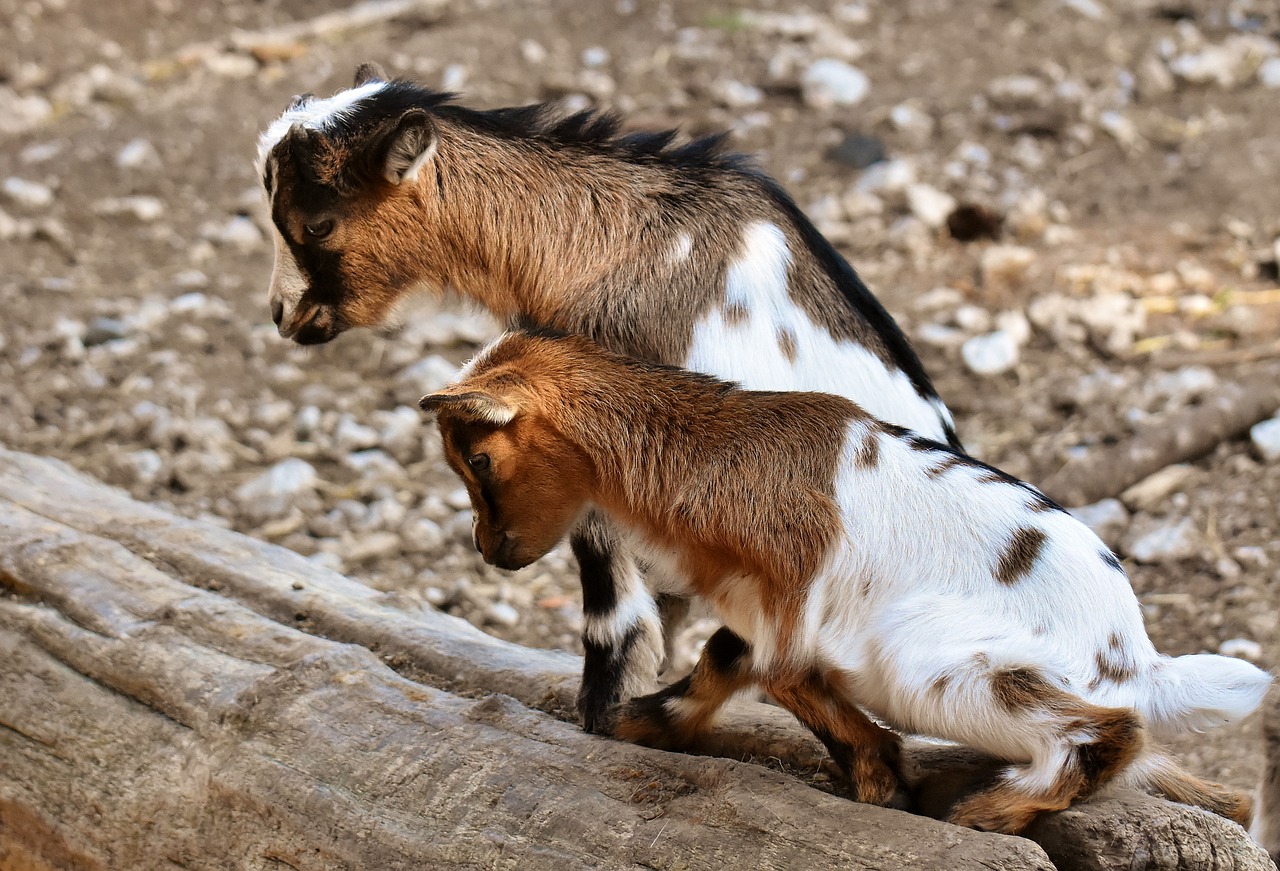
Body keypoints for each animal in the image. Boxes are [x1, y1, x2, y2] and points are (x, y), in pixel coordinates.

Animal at [419, 330, 1269, 835]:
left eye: (481, 459)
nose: (491, 550)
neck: (717, 455)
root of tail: (1136, 659)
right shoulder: (758, 608)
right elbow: (726, 659)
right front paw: (641, 721)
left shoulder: (792, 591)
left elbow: (782, 676)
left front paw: (878, 787)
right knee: (1212, 786)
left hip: (937, 663)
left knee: (1108, 732)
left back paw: (989, 810)